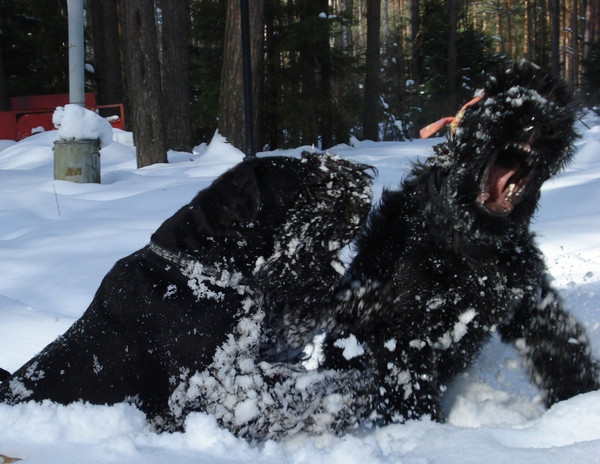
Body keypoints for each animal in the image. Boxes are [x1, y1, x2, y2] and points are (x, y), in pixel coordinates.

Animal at [320, 60, 600, 426]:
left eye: (556, 102)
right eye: (499, 93)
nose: (540, 121)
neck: (470, 239)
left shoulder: (532, 300)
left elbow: (561, 348)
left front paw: (582, 401)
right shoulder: (405, 329)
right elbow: (406, 385)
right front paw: (424, 427)